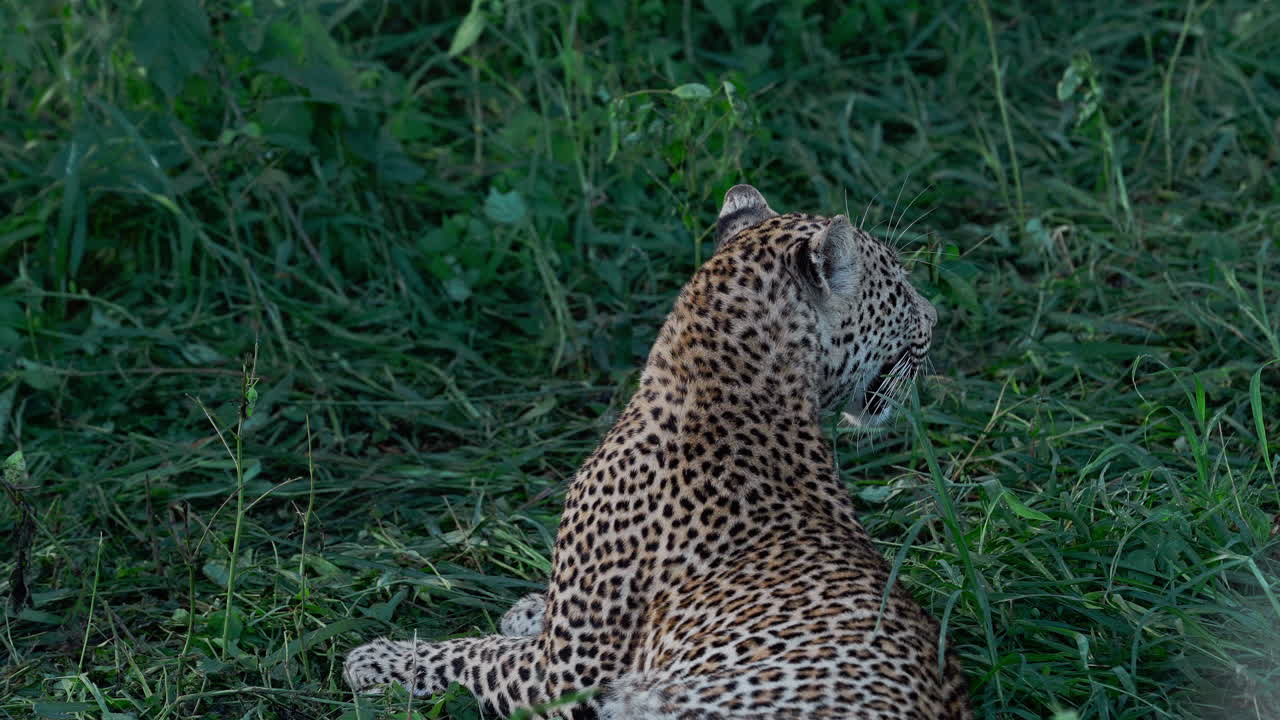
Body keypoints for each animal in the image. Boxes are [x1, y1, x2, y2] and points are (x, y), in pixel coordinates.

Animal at [344, 184, 971, 719]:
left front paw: (378, 657)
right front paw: (528, 608)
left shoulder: (567, 673)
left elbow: (471, 653)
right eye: (900, 289)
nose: (937, 319)